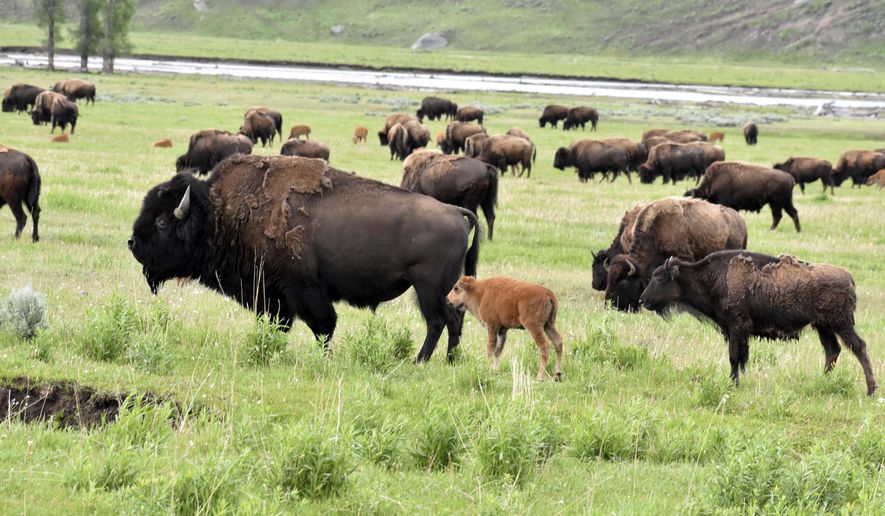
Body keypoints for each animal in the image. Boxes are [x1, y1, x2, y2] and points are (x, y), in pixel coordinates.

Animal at [128, 154, 480, 363]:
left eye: (162, 222)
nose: (132, 243)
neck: (220, 214)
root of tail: (456, 212)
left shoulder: (301, 290)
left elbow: (323, 325)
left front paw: (323, 357)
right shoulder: (272, 296)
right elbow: (279, 324)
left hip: (429, 287)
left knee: (439, 321)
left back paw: (423, 361)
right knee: (451, 322)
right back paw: (447, 361)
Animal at [639, 251, 877, 396]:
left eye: (659, 278)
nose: (642, 300)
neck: (713, 277)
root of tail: (848, 277)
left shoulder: (737, 328)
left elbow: (734, 357)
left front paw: (733, 383)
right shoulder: (735, 331)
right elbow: (738, 357)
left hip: (840, 324)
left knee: (858, 347)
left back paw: (871, 390)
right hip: (823, 326)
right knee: (832, 350)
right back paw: (823, 382)